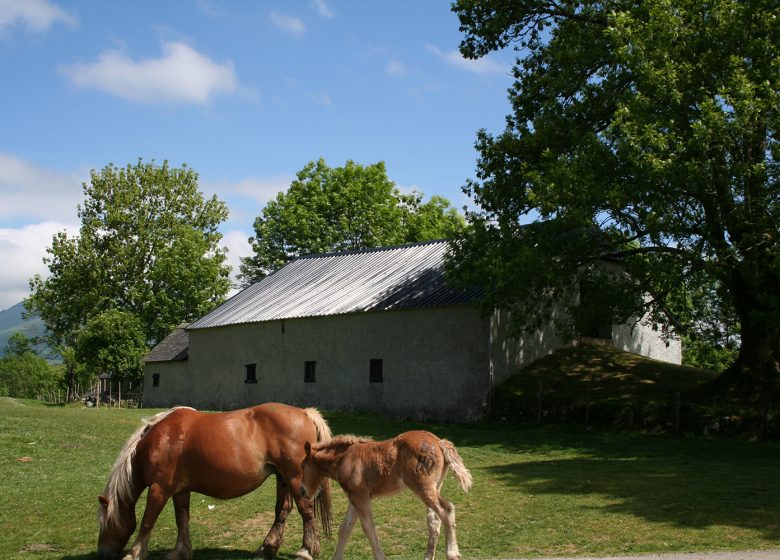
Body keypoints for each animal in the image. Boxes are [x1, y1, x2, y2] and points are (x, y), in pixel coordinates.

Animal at [96, 402, 330, 560]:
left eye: (103, 522)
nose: (102, 553)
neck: (160, 439)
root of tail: (304, 413)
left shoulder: (159, 489)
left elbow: (147, 521)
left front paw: (134, 553)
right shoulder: (180, 491)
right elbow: (182, 519)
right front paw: (181, 551)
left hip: (294, 477)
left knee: (306, 510)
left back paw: (306, 550)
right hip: (282, 477)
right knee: (282, 511)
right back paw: (267, 548)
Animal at [300, 430, 472, 556]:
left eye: (303, 466)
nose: (302, 491)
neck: (344, 459)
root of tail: (439, 441)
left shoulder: (361, 497)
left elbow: (368, 528)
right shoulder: (354, 497)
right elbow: (345, 528)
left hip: (422, 487)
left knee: (446, 509)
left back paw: (452, 553)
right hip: (435, 487)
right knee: (434, 520)